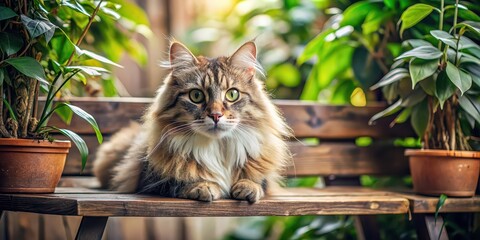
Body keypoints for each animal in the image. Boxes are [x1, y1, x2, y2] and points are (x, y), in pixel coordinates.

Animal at [92, 41, 290, 202]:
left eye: (232, 94)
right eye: (196, 96)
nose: (216, 115)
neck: (218, 147)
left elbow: (259, 182)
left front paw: (248, 186)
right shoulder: (150, 180)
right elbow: (180, 182)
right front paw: (205, 186)